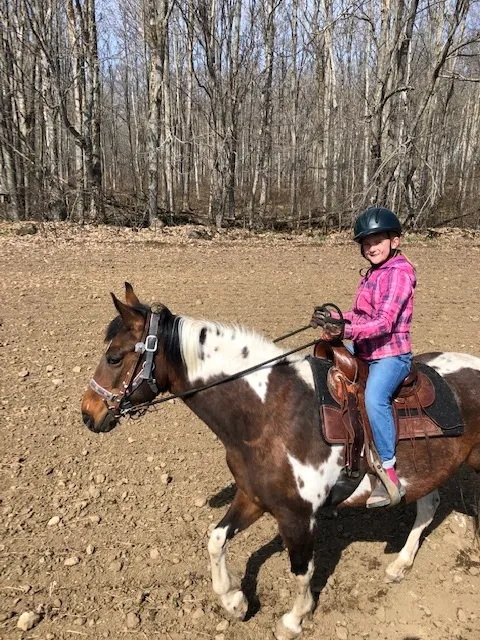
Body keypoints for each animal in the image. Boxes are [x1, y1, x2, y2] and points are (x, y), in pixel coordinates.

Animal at [80, 284, 480, 640]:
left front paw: (293, 620)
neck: (268, 414)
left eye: (114, 357)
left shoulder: (298, 516)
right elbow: (216, 539)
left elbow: (301, 571)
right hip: (427, 471)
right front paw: (234, 600)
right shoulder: (253, 497)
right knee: (428, 505)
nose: (88, 413)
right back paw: (399, 565)